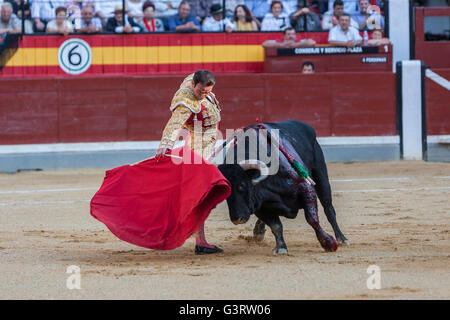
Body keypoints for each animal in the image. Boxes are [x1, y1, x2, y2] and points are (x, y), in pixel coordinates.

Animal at [217, 120, 348, 255]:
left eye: (242, 185)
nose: (237, 218)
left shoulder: (306, 188)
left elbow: (312, 219)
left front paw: (328, 243)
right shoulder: (259, 205)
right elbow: (276, 225)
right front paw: (281, 247)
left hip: (321, 174)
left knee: (328, 208)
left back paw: (341, 239)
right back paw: (258, 232)